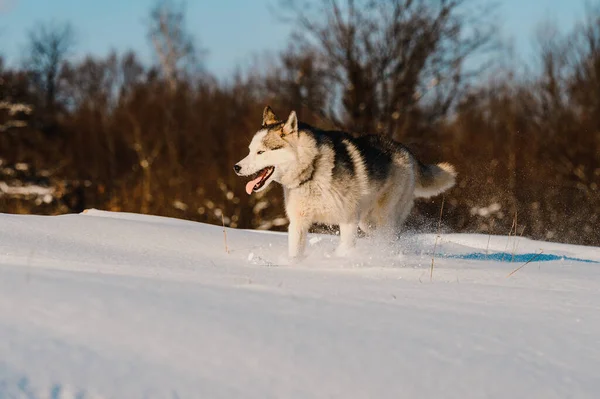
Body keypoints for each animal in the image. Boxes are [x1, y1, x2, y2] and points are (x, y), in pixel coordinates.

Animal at [234, 106, 454, 260]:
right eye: (249, 150)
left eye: (261, 152)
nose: (236, 167)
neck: (312, 170)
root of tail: (405, 150)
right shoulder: (298, 223)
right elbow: (295, 253)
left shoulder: (348, 221)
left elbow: (345, 248)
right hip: (367, 223)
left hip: (382, 218)